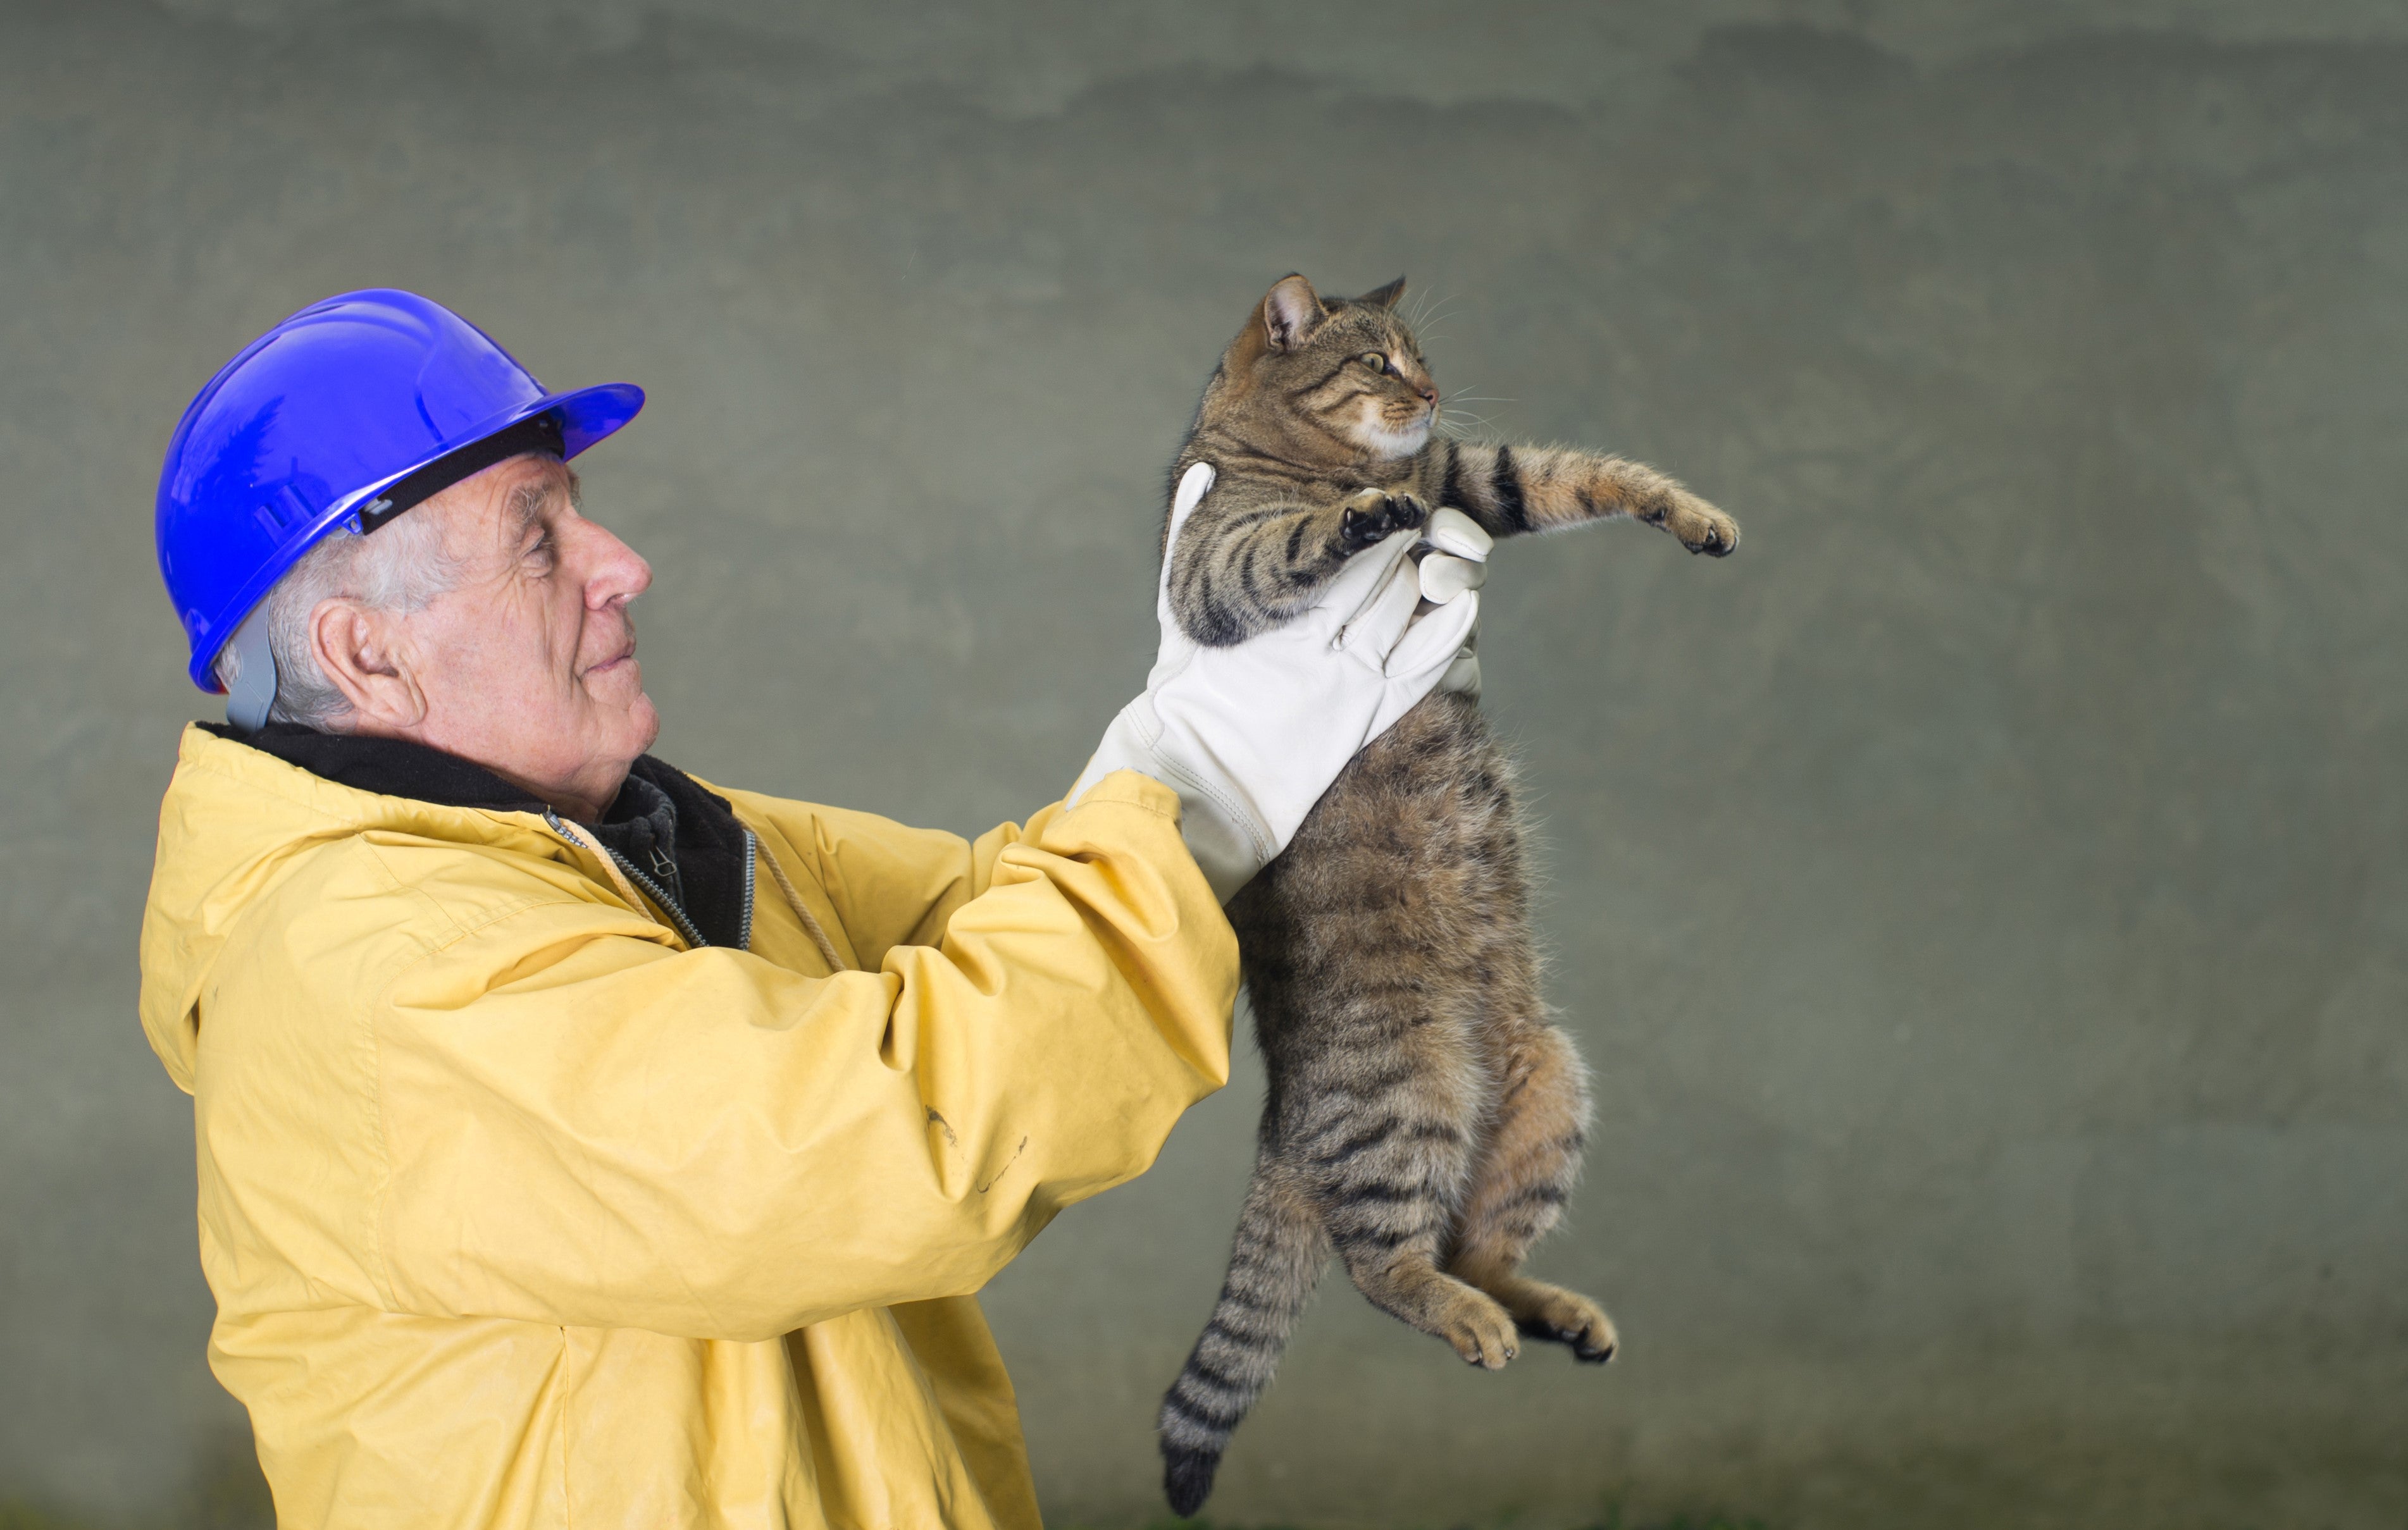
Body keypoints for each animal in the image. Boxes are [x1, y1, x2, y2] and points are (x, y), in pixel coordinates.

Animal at [1155, 275, 1743, 1520]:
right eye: (1378, 361)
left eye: (1419, 358)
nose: (1426, 394)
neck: (1327, 453)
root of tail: (1281, 1120)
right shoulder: (1211, 559)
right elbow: (1278, 545)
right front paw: (1355, 522)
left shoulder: (1477, 476)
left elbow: (1582, 470)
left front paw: (1694, 514)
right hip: (1408, 1094)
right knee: (1385, 1262)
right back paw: (1470, 1317)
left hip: (1550, 1084)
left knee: (1476, 1245)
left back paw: (1542, 1305)